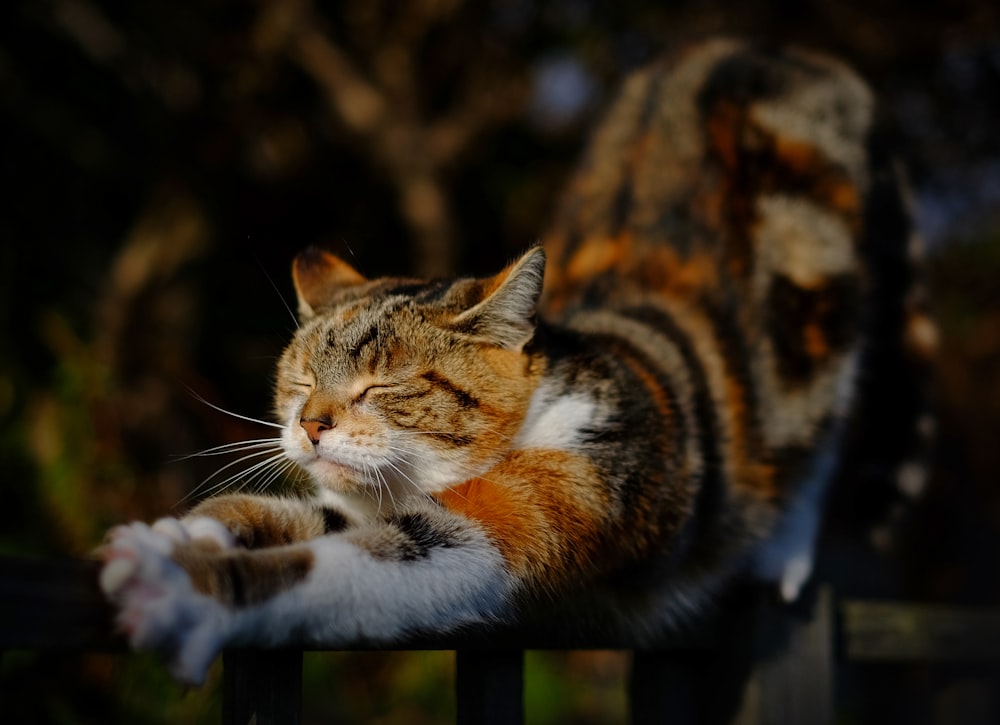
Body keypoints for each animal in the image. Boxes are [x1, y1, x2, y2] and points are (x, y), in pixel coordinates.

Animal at [97, 38, 932, 684]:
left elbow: (338, 567)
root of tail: (771, 49)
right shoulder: (366, 498)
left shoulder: (559, 491)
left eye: (383, 384)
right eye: (300, 380)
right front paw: (174, 537)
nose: (311, 425)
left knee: (829, 424)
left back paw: (781, 549)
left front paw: (188, 592)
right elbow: (291, 518)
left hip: (832, 302)